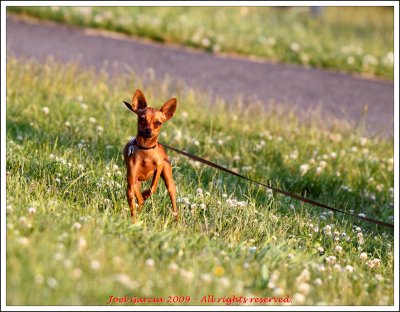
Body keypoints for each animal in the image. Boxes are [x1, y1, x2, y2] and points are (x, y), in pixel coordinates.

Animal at [122, 89, 177, 223]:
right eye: (142, 118)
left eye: (158, 123)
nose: (148, 131)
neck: (145, 150)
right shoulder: (131, 183)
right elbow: (134, 203)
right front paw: (134, 222)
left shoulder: (159, 167)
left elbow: (153, 186)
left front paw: (147, 193)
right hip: (137, 182)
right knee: (139, 199)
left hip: (169, 180)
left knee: (173, 202)